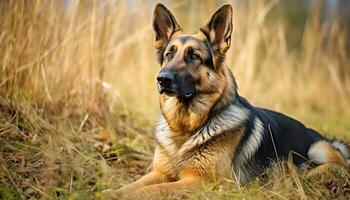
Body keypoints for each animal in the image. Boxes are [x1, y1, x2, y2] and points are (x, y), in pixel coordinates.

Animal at [104, 2, 350, 198]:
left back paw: (302, 173)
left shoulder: (203, 182)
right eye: (168, 55)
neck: (186, 130)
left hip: (317, 148)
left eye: (194, 56)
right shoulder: (159, 172)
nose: (162, 79)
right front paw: (110, 191)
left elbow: (153, 190)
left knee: (337, 166)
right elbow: (133, 185)